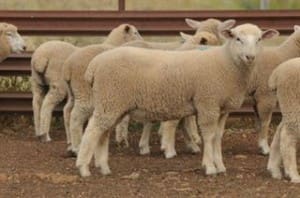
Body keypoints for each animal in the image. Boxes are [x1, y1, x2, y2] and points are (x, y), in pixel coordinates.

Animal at [76, 23, 278, 176]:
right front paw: (209, 167)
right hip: (110, 100)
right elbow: (208, 136)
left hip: (113, 103)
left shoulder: (222, 109)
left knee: (103, 133)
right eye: (238, 39)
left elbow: (218, 137)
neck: (227, 63)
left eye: (259, 39)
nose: (250, 57)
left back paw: (104, 167)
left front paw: (220, 166)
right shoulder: (207, 103)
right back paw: (83, 168)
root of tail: (94, 65)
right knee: (92, 130)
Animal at [247, 24, 300, 155]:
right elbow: (265, 122)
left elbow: (259, 123)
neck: (283, 55)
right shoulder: (265, 96)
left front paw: (261, 145)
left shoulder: (257, 97)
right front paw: (265, 148)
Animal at [268, 55, 300, 183]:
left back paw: (274, 170)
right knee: (287, 138)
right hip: (292, 103)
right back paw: (294, 174)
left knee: (279, 133)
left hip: (289, 109)